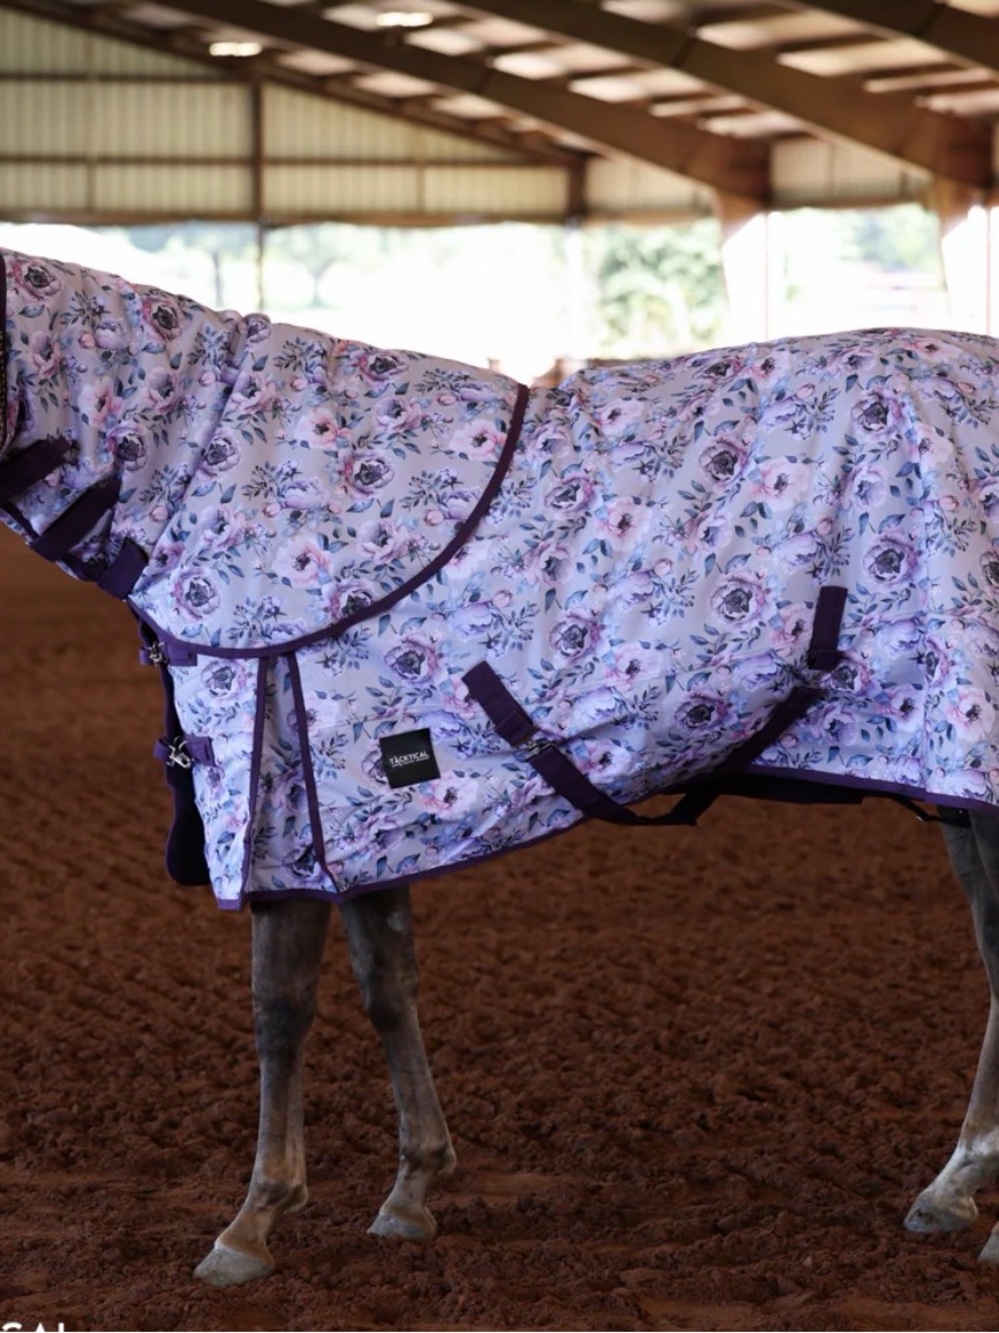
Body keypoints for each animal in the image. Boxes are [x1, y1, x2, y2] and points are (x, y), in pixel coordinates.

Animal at [5, 245, 999, 1288]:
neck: (203, 470)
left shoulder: (270, 804)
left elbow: (280, 1006)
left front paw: (252, 1220)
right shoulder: (352, 808)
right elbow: (385, 983)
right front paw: (411, 1187)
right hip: (956, 797)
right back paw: (951, 1187)